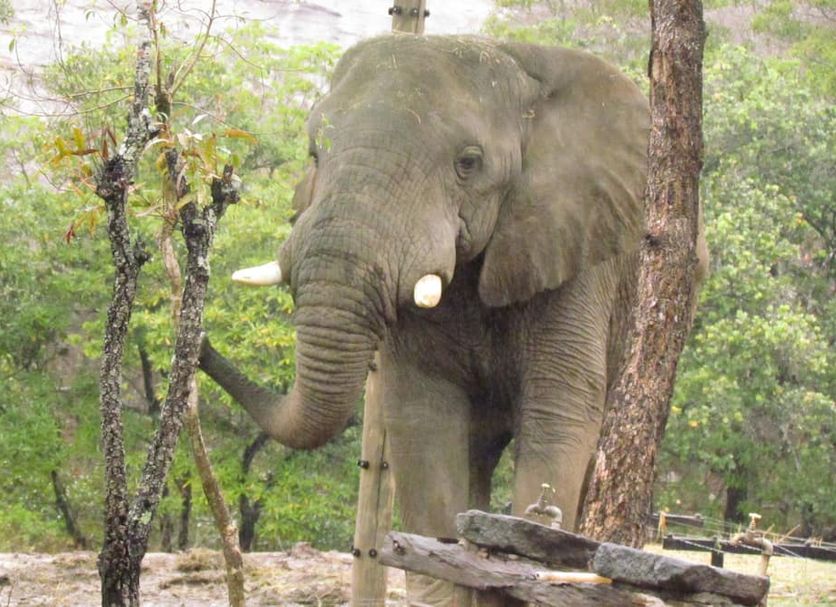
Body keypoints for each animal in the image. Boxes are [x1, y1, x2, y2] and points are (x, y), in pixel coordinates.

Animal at [199, 34, 704, 605]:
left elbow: (558, 412)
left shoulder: (577, 248)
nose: (199, 343)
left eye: (469, 162)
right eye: (312, 154)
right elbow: (423, 419)